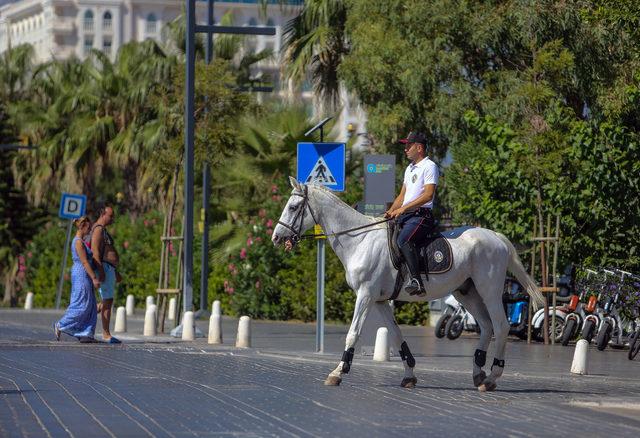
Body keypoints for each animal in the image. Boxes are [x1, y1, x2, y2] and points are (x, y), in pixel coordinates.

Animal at [272, 176, 544, 392]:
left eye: (293, 207)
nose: (276, 237)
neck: (359, 240)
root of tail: (495, 237)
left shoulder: (365, 295)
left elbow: (353, 333)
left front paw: (337, 372)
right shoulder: (380, 300)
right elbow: (395, 335)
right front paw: (409, 375)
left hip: (489, 291)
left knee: (501, 326)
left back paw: (492, 377)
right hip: (467, 292)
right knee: (487, 326)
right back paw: (478, 373)